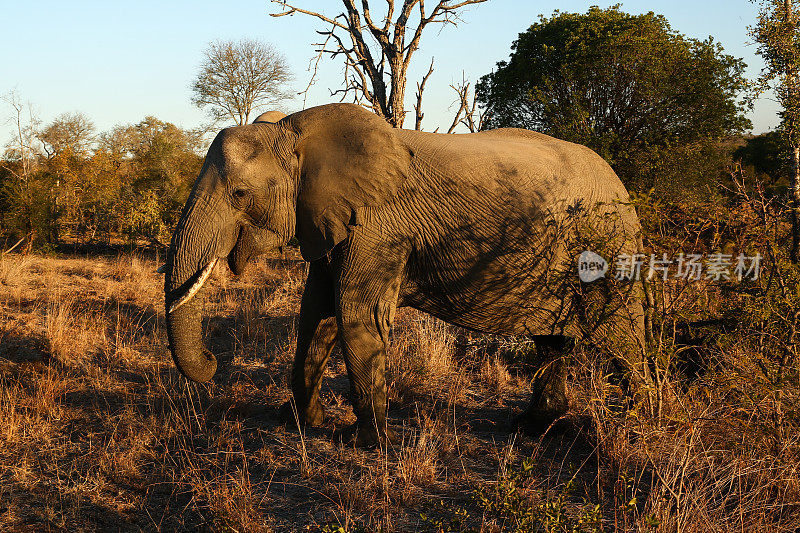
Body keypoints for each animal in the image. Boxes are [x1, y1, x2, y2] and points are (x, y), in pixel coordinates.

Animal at [166, 102, 648, 446]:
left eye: (239, 193)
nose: (211, 359)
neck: (294, 132)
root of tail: (621, 185)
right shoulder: (331, 218)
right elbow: (317, 314)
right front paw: (305, 423)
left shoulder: (378, 224)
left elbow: (353, 313)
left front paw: (363, 441)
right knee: (552, 342)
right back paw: (534, 428)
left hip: (609, 247)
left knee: (625, 338)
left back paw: (638, 424)